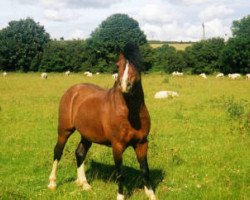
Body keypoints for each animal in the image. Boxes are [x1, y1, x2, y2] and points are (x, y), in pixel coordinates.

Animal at [47, 43, 155, 199]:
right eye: (118, 65)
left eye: (138, 64)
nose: (125, 85)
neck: (131, 114)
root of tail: (73, 90)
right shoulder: (117, 146)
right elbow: (120, 173)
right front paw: (120, 196)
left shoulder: (142, 143)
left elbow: (145, 170)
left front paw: (151, 195)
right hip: (64, 130)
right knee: (58, 152)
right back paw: (52, 183)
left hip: (87, 135)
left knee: (80, 153)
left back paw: (84, 184)